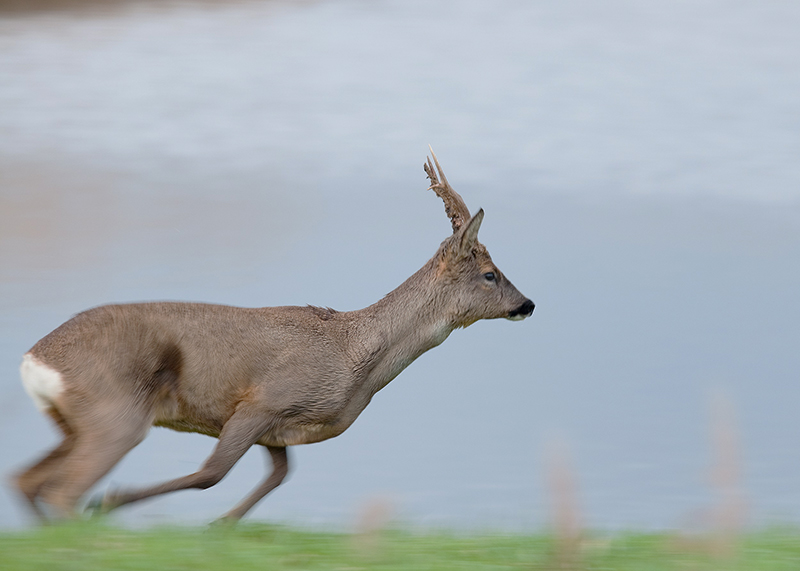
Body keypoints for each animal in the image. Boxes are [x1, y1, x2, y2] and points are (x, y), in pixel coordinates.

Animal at [12, 151, 536, 524]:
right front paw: (116, 501)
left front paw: (220, 527)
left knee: (24, 479)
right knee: (60, 489)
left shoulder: (275, 429)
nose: (527, 304)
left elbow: (279, 477)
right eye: (490, 275)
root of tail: (34, 360)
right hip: (115, 411)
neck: (353, 358)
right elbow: (211, 474)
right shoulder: (262, 401)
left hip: (74, 420)